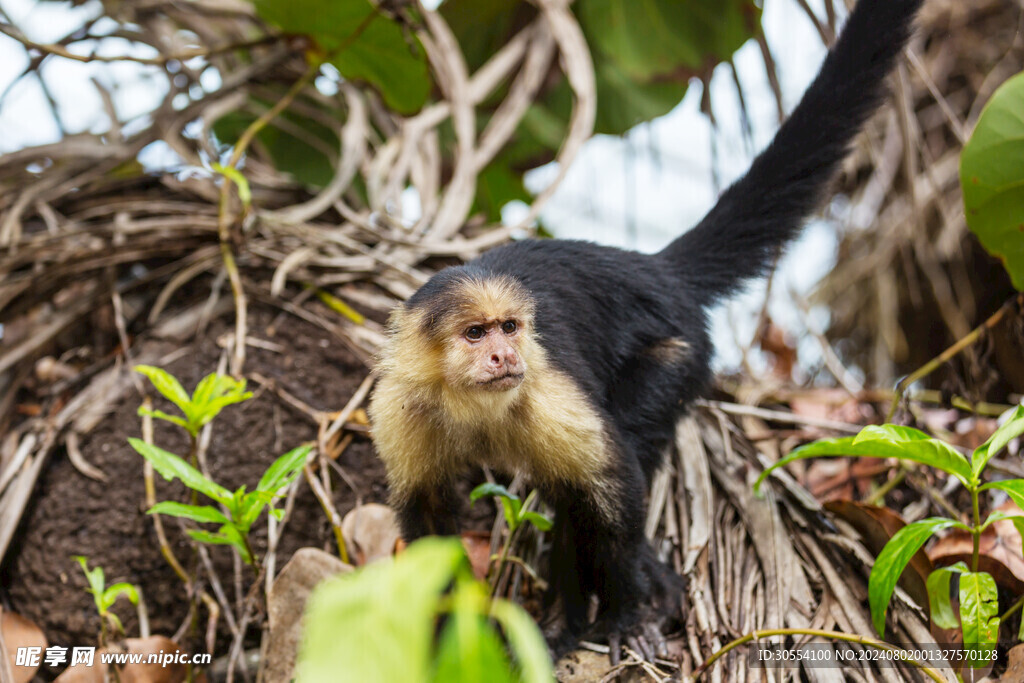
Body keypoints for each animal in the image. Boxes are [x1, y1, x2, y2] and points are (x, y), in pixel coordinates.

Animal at [370, 0, 929, 663]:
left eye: (509, 327)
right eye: (477, 334)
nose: (506, 355)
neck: (472, 405)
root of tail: (654, 269)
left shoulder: (546, 395)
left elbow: (611, 485)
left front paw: (625, 612)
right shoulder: (403, 409)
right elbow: (428, 520)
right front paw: (439, 632)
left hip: (681, 350)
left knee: (609, 464)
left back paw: (596, 607)